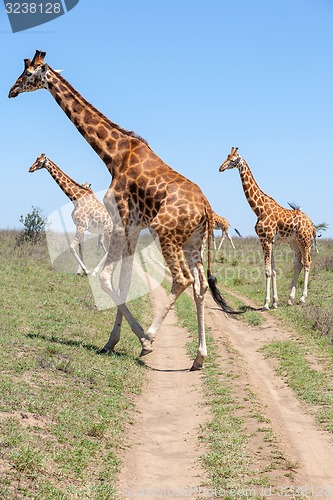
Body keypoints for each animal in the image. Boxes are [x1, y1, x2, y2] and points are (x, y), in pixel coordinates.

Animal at [9, 49, 235, 372]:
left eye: (28, 74)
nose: (11, 91)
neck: (113, 155)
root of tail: (206, 206)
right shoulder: (133, 227)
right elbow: (124, 281)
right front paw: (110, 342)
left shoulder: (120, 222)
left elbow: (106, 278)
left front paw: (139, 339)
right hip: (193, 241)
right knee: (201, 286)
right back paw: (199, 357)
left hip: (166, 233)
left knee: (183, 279)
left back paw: (151, 337)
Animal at [219, 146, 316, 308]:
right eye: (227, 156)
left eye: (233, 159)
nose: (221, 168)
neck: (259, 209)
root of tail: (312, 225)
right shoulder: (270, 241)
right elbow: (274, 270)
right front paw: (275, 302)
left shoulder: (265, 240)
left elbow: (267, 271)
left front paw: (266, 303)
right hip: (294, 242)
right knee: (298, 264)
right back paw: (290, 299)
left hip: (305, 240)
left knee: (307, 262)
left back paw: (302, 298)